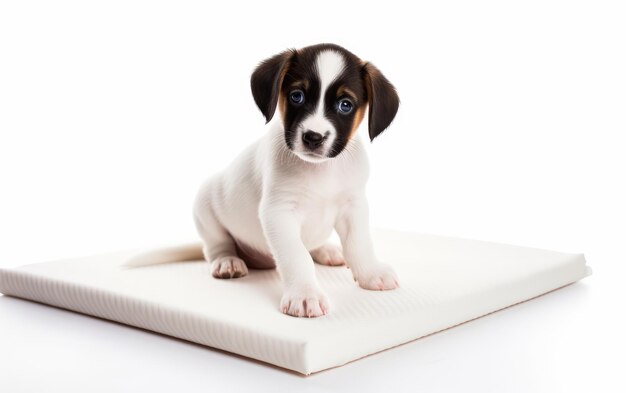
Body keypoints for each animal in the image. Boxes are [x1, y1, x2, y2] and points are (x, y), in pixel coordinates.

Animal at [191, 43, 400, 316]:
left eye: (345, 104)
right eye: (296, 96)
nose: (314, 137)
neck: (321, 170)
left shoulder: (353, 207)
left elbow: (359, 243)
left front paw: (370, 273)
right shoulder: (279, 213)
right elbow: (297, 256)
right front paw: (305, 294)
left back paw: (327, 250)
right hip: (205, 207)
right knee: (216, 245)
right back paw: (227, 261)